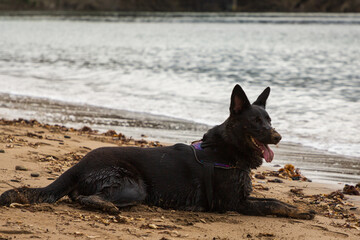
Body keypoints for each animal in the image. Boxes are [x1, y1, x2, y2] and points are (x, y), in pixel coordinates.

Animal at [0, 85, 316, 219]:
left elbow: (274, 200)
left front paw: (297, 208)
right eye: (256, 122)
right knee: (84, 198)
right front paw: (298, 211)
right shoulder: (233, 203)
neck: (225, 151)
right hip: (133, 186)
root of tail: (79, 164)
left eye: (270, 120)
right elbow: (272, 204)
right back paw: (107, 207)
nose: (278, 136)